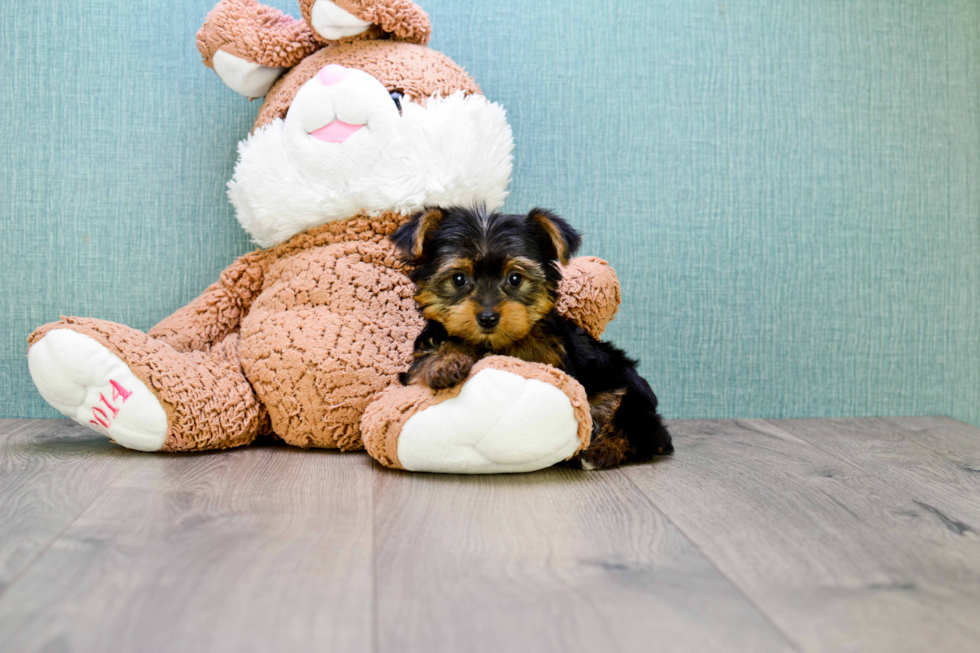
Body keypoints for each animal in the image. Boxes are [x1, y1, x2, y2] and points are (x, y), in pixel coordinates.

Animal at [390, 205, 672, 468]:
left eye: (515, 278)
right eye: (458, 279)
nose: (488, 318)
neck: (491, 343)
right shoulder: (420, 357)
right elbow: (425, 364)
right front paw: (445, 363)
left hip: (624, 392)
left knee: (638, 431)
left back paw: (599, 452)